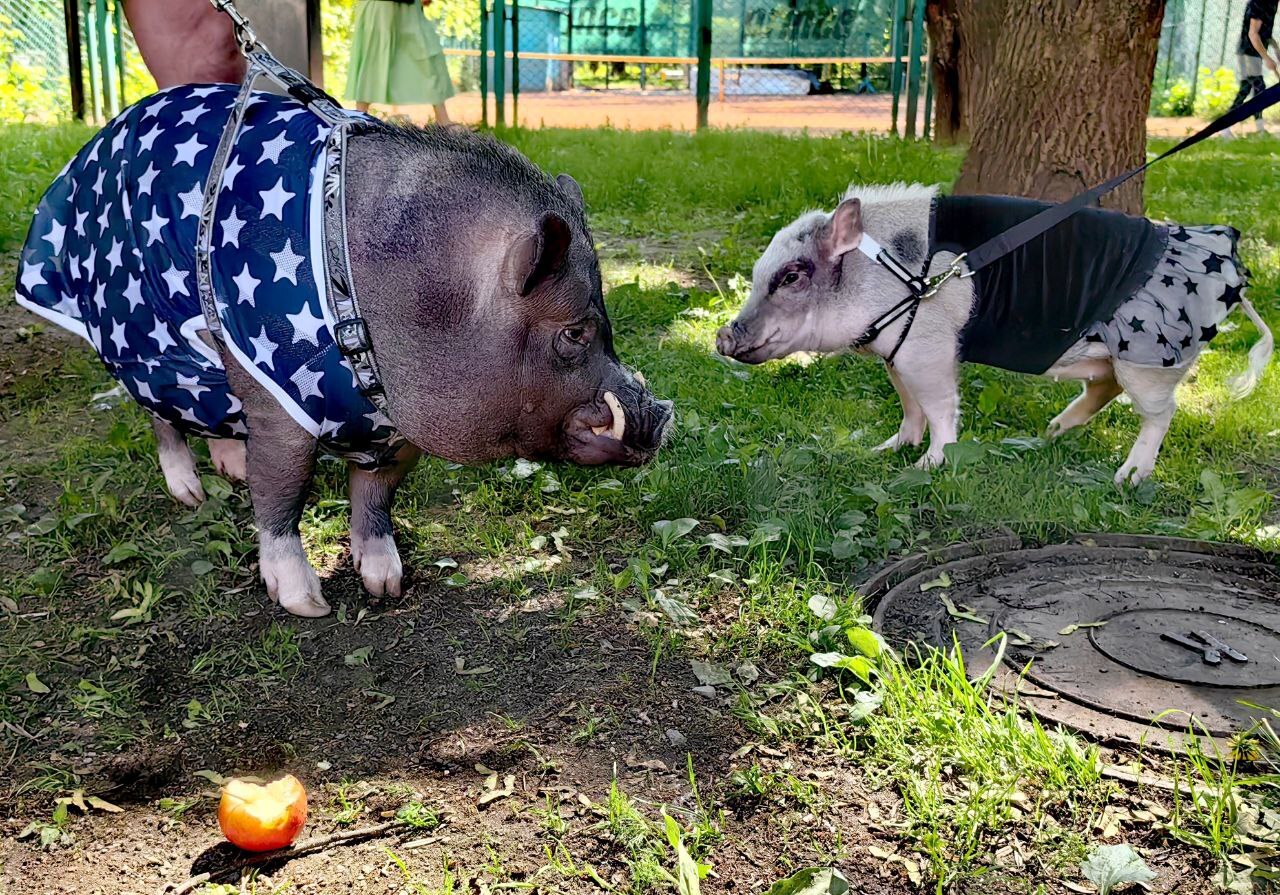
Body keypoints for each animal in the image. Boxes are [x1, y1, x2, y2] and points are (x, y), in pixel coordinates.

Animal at [15, 83, 675, 617]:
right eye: (575, 333)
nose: (662, 415)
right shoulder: (278, 398)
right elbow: (282, 491)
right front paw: (307, 604)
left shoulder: (392, 424)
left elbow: (377, 493)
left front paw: (387, 585)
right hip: (139, 328)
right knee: (159, 409)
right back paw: (192, 492)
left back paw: (228, 466)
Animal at [721, 184, 1269, 486]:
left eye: (792, 276)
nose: (723, 338)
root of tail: (1235, 273)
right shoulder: (896, 353)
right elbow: (909, 406)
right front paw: (886, 450)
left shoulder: (929, 348)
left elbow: (941, 408)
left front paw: (927, 467)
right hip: (1115, 358)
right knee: (1104, 386)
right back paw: (1051, 432)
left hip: (1150, 359)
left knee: (1161, 413)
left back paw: (1127, 479)